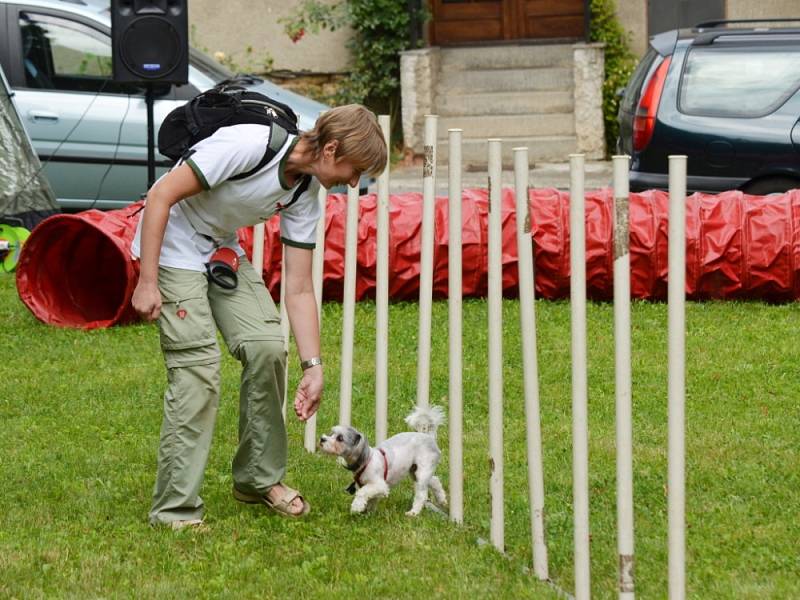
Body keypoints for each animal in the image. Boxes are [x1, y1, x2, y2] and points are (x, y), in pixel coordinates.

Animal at [318, 404, 446, 516]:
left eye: (340, 438)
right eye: (331, 433)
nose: (322, 439)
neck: (366, 461)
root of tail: (428, 436)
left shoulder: (380, 485)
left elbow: (362, 493)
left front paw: (356, 507)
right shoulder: (368, 487)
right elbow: (371, 499)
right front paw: (368, 512)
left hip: (422, 471)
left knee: (422, 495)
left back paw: (413, 513)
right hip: (415, 471)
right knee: (435, 480)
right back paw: (442, 500)